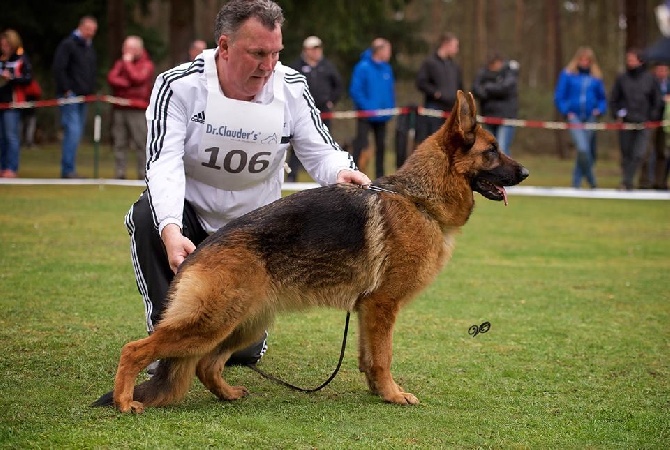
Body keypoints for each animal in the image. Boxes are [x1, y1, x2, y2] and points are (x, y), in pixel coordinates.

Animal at [94, 90, 532, 412]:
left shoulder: (368, 311)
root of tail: (198, 252)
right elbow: (384, 356)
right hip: (211, 322)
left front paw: (378, 392)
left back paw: (228, 394)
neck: (418, 200)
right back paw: (124, 402)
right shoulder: (383, 306)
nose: (526, 173)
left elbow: (369, 357)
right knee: (134, 350)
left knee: (205, 364)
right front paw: (393, 395)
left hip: (245, 324)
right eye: (492, 151)